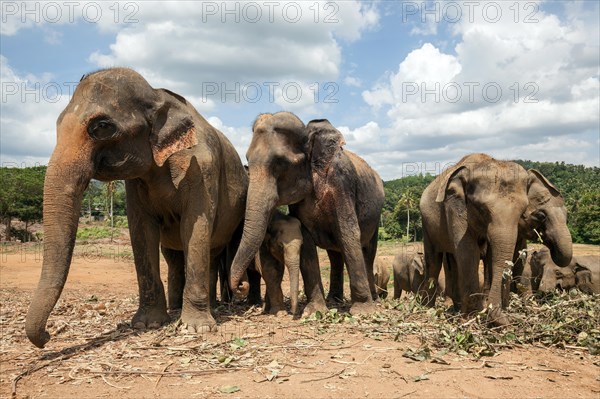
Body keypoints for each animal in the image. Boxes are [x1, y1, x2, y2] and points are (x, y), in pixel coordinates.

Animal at [25, 68, 248, 346]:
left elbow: (195, 228)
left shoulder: (200, 167)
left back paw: (210, 307)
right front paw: (148, 323)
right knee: (174, 257)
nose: (47, 336)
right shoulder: (135, 183)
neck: (157, 95)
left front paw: (198, 328)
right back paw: (176, 308)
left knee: (211, 252)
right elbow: (142, 232)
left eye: (101, 127)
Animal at [227, 111, 382, 316]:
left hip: (376, 216)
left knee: (368, 251)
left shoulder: (342, 182)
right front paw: (315, 311)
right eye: (247, 159)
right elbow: (307, 241)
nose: (240, 286)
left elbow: (348, 233)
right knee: (335, 254)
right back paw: (334, 299)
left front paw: (363, 311)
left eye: (280, 163)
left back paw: (375, 299)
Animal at [420, 152, 576, 324]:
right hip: (426, 224)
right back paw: (430, 309)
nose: (506, 322)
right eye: (482, 209)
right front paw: (473, 316)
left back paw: (455, 307)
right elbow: (468, 251)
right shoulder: (455, 206)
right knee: (434, 261)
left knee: (451, 261)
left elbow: (498, 255)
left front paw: (498, 310)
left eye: (522, 211)